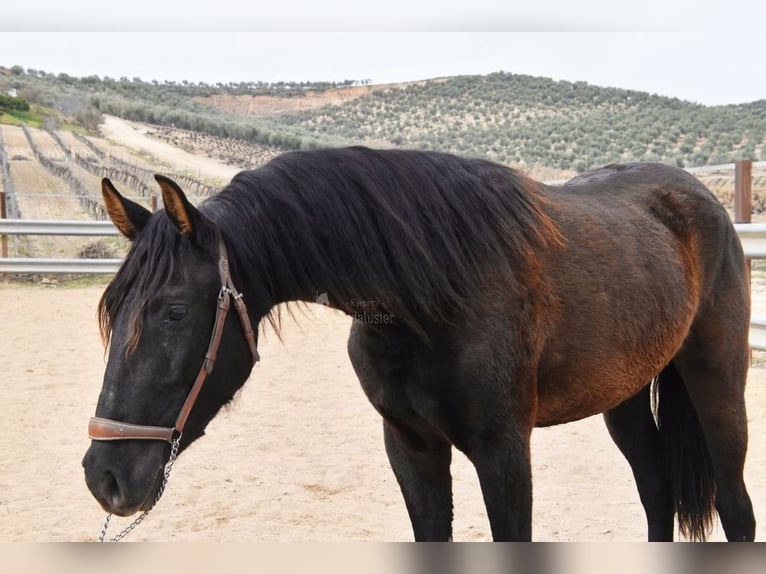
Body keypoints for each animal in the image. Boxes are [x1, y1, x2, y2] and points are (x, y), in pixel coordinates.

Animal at [82, 148, 756, 544]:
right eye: (112, 311)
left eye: (174, 311)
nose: (105, 476)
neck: (429, 295)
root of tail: (701, 200)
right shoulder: (410, 447)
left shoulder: (504, 451)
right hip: (624, 397)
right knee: (657, 493)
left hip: (717, 387)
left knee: (737, 509)